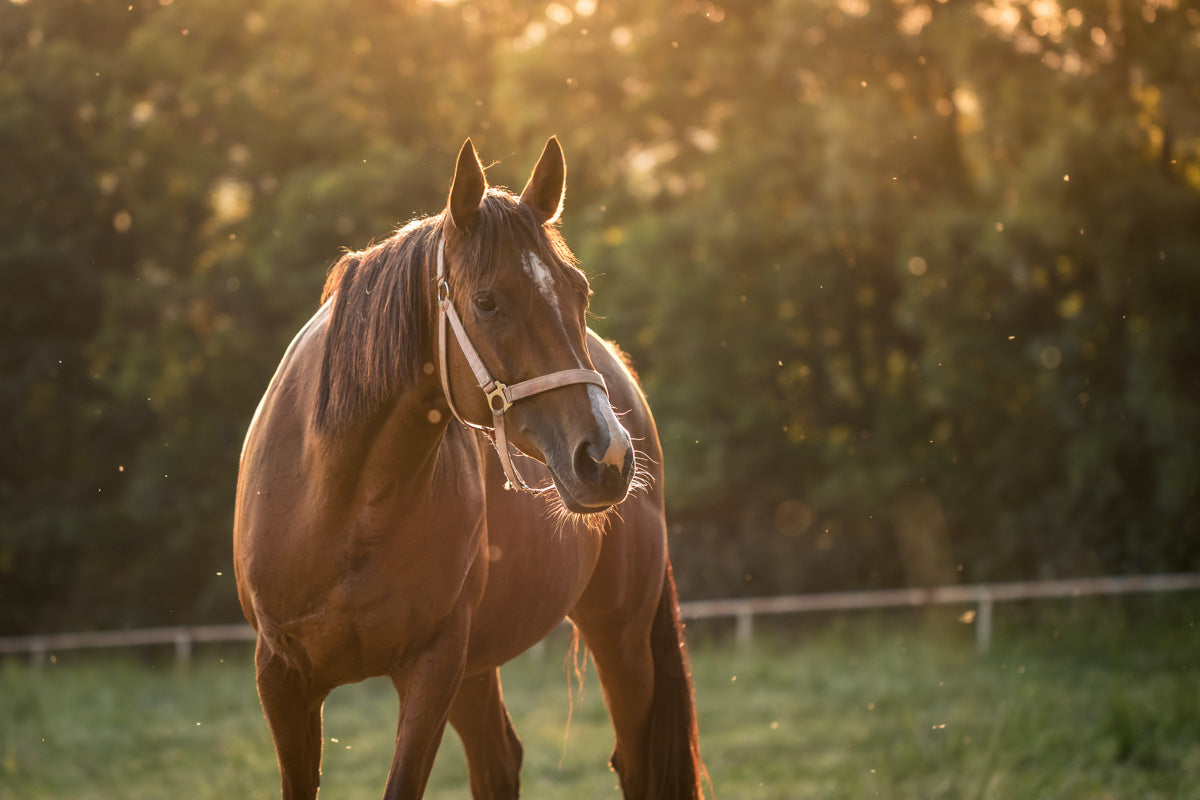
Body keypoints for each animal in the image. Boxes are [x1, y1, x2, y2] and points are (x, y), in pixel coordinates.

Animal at [231, 139, 700, 800]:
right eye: (486, 300)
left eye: (579, 291)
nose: (606, 458)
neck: (343, 502)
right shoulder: (281, 680)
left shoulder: (433, 668)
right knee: (498, 761)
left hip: (619, 638)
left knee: (633, 765)